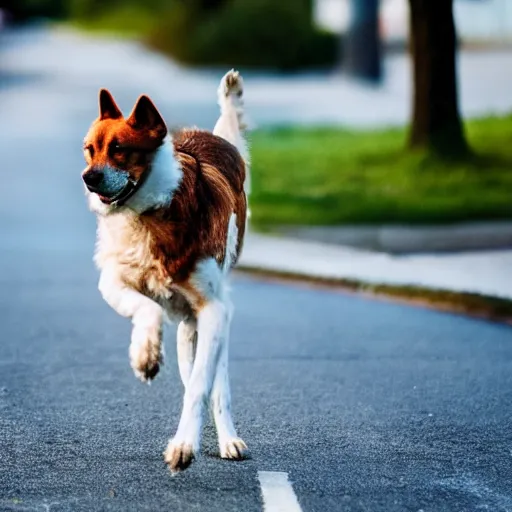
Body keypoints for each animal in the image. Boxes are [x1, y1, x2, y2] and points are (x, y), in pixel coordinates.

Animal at [81, 71, 250, 472]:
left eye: (120, 149)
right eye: (89, 149)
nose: (88, 178)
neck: (147, 214)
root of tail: (215, 138)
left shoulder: (214, 309)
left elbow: (202, 385)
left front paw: (184, 445)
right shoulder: (112, 281)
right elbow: (147, 307)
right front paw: (145, 356)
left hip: (212, 318)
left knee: (215, 381)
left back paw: (228, 439)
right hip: (189, 327)